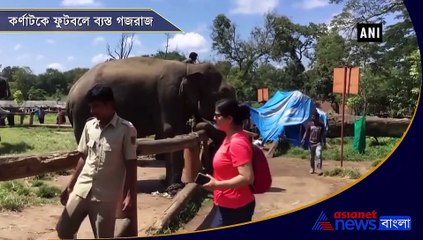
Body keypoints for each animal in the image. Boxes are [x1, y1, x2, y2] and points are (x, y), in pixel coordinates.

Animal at [68, 56, 237, 191]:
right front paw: (174, 187)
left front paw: (168, 184)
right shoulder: (168, 93)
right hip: (82, 112)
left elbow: (177, 133)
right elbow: (172, 131)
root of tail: (72, 91)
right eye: (224, 92)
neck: (190, 68)